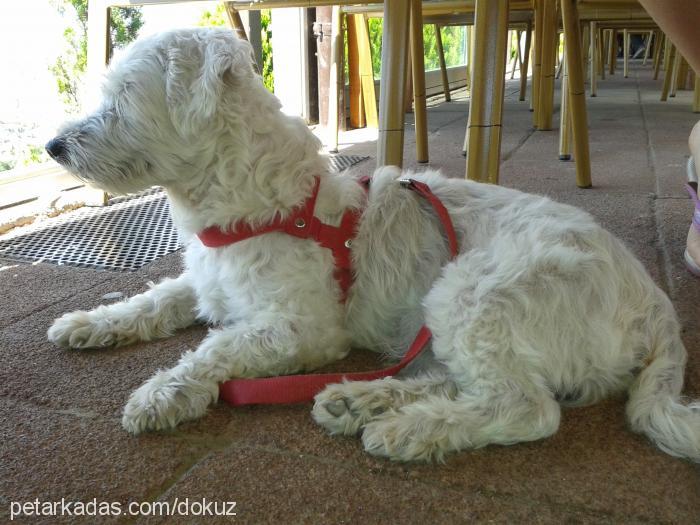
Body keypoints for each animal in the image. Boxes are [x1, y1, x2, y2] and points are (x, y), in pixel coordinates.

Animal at [46, 28, 696, 460]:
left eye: (124, 97)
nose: (53, 146)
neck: (262, 206)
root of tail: (657, 308)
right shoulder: (206, 284)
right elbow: (153, 299)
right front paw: (88, 322)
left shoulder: (302, 329)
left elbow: (215, 348)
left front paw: (162, 393)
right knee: (465, 381)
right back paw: (362, 402)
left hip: (477, 291)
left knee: (526, 408)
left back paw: (406, 429)